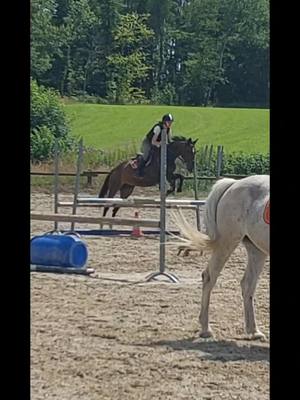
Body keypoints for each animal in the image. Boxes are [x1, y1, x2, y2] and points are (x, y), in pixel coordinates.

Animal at [173, 175, 270, 340]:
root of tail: (234, 183)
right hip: (226, 243)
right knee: (209, 277)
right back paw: (206, 329)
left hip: (256, 250)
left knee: (248, 285)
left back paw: (253, 331)